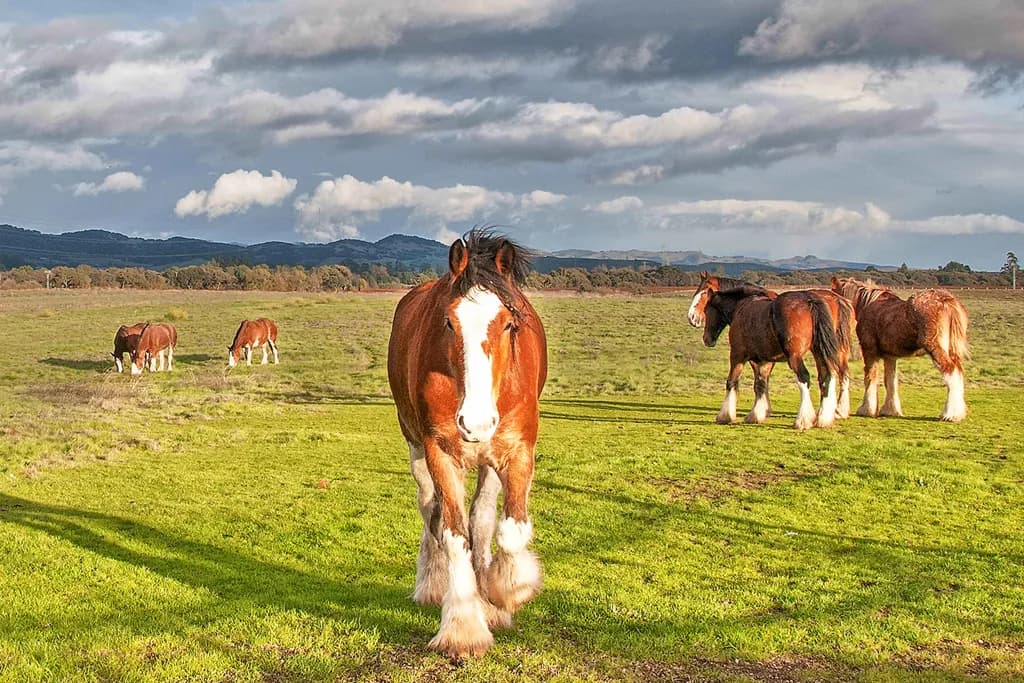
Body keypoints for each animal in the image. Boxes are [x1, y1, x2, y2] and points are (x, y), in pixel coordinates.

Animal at [387, 229, 547, 658]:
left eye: (509, 324)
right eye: (448, 322)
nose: (475, 423)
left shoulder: (517, 450)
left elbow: (508, 529)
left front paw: (506, 593)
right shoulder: (439, 452)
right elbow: (453, 534)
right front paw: (462, 627)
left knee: (482, 517)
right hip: (415, 445)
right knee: (430, 510)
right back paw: (432, 583)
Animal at [688, 274, 855, 424]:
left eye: (703, 294)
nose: (692, 318)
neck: (741, 306)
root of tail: (811, 300)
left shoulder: (737, 355)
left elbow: (732, 382)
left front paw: (725, 415)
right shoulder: (765, 360)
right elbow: (761, 383)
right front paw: (758, 414)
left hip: (796, 356)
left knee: (805, 378)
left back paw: (804, 420)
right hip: (822, 351)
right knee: (828, 376)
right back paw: (824, 417)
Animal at [831, 277, 969, 422]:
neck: (867, 305)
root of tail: (946, 301)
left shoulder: (869, 352)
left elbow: (870, 378)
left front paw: (866, 410)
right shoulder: (890, 356)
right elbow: (890, 381)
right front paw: (890, 410)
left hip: (936, 349)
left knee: (951, 372)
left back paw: (950, 415)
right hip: (952, 352)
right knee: (958, 373)